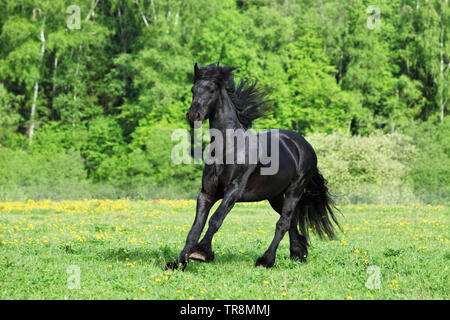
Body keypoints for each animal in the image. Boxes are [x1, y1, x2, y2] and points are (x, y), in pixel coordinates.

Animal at [167, 62, 340, 270]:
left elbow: (216, 219)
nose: (193, 115)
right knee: (290, 221)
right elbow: (195, 227)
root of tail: (304, 144)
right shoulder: (206, 193)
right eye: (193, 89)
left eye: (211, 90)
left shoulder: (233, 191)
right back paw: (298, 253)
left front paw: (201, 252)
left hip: (294, 191)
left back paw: (266, 260)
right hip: (274, 195)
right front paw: (179, 262)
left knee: (283, 222)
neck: (228, 148)